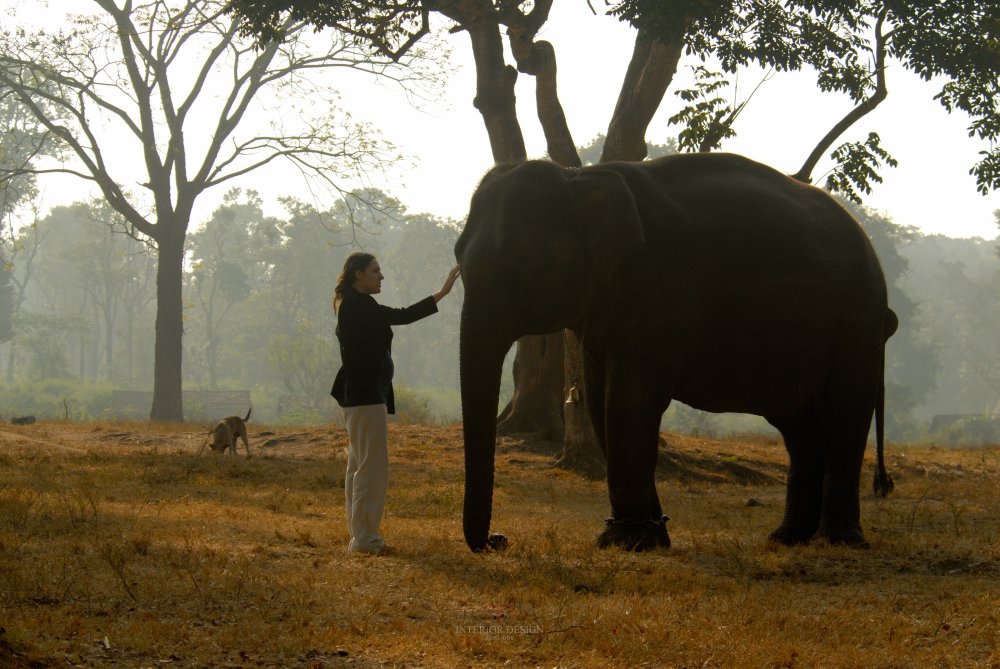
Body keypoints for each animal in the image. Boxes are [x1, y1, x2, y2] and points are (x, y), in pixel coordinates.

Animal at [456, 153, 900, 552]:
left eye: (521, 259)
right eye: (458, 255)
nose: (499, 539)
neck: (580, 177)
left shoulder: (659, 288)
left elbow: (630, 400)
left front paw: (626, 542)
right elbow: (600, 402)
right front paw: (650, 539)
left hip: (855, 320)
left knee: (844, 413)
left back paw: (838, 541)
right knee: (798, 427)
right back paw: (787, 539)